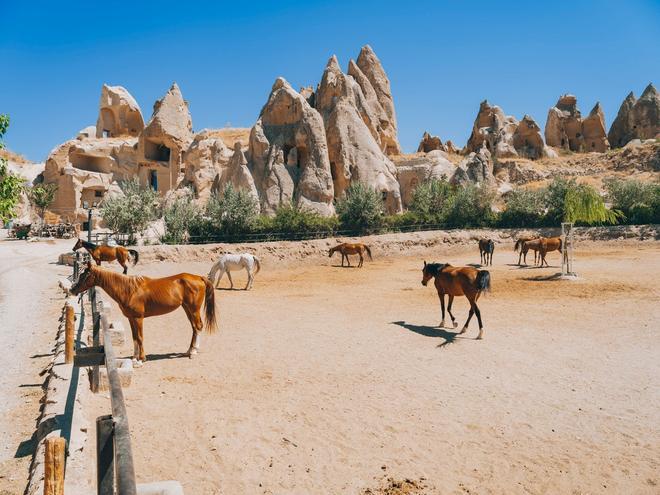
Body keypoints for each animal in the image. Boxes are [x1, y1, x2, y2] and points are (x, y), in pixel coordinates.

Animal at [71, 264, 218, 364]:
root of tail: (199, 278)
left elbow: (140, 337)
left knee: (198, 326)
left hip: (194, 309)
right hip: (187, 308)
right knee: (194, 327)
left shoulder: (138, 318)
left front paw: (141, 359)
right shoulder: (131, 318)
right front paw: (134, 358)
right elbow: (135, 337)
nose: (72, 289)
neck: (129, 290)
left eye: (84, 275)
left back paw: (193, 352)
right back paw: (189, 350)